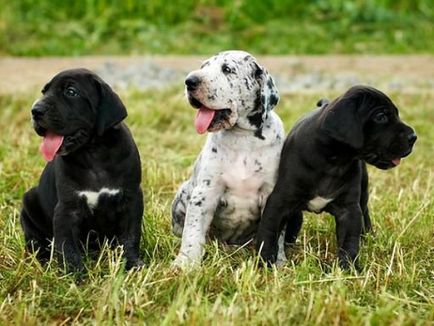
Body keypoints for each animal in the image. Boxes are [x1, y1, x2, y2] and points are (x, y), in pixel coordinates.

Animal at [21, 69, 144, 272]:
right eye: (44, 92)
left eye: (71, 92)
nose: (35, 110)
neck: (93, 153)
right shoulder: (67, 209)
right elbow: (67, 246)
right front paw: (74, 273)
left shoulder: (131, 199)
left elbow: (130, 236)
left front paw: (133, 263)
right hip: (29, 203)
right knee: (36, 242)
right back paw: (44, 261)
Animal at [171, 49, 286, 268]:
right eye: (203, 66)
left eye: (227, 69)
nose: (190, 81)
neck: (243, 137)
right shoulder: (205, 192)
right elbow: (193, 231)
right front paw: (186, 262)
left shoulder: (272, 193)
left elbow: (275, 232)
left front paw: (277, 261)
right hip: (183, 192)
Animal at [256, 85, 416, 268]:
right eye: (380, 117)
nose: (414, 137)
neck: (334, 161)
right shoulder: (279, 201)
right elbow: (268, 231)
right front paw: (266, 262)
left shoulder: (349, 209)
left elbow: (350, 240)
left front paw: (349, 267)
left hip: (363, 193)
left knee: (365, 213)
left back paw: (368, 237)